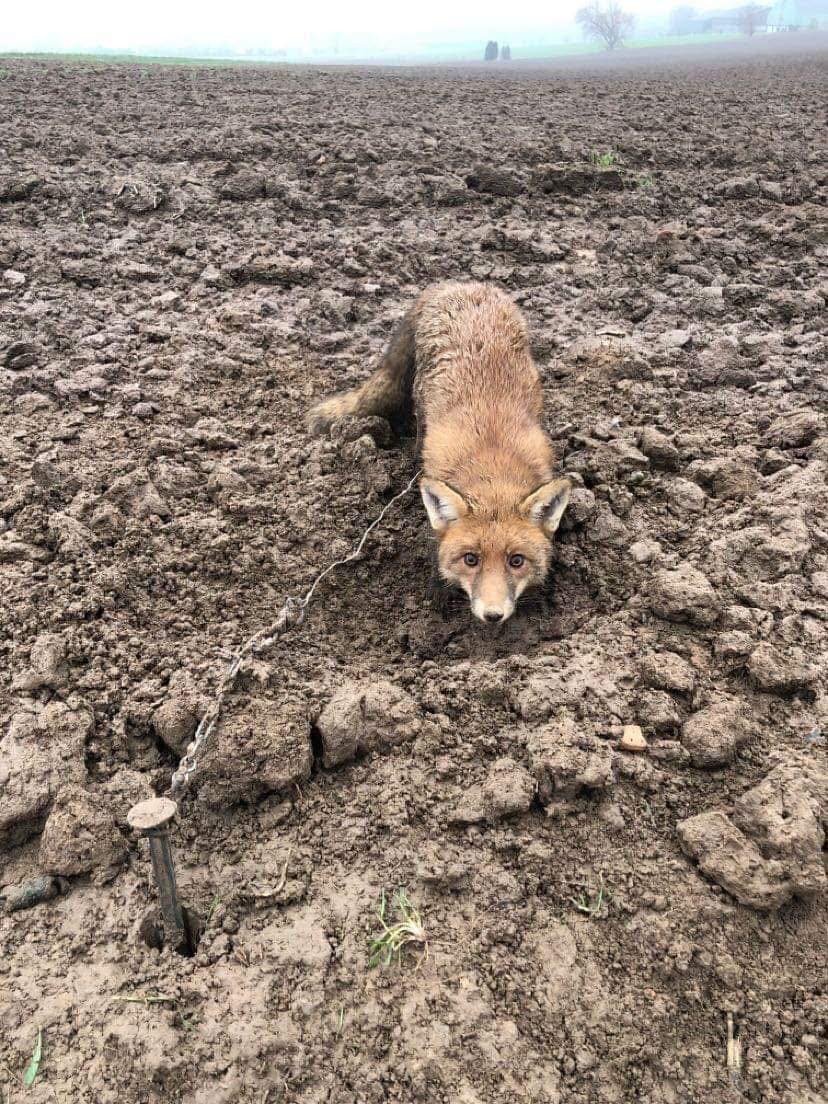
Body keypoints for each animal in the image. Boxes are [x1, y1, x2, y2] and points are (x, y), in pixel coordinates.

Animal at [308, 282, 572, 624]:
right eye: (470, 559)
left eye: (517, 561)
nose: (493, 615)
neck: (492, 465)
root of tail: (459, 284)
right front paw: (439, 594)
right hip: (421, 401)